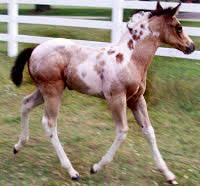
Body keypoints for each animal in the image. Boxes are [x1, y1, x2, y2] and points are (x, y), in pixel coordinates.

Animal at [10, 1, 194, 185]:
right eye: (179, 27)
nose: (191, 46)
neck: (130, 60)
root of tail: (35, 49)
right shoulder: (116, 99)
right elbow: (122, 131)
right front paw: (96, 167)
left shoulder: (137, 100)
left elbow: (149, 132)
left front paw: (169, 175)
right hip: (53, 91)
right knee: (49, 123)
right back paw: (72, 171)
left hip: (44, 90)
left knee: (26, 103)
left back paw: (18, 146)